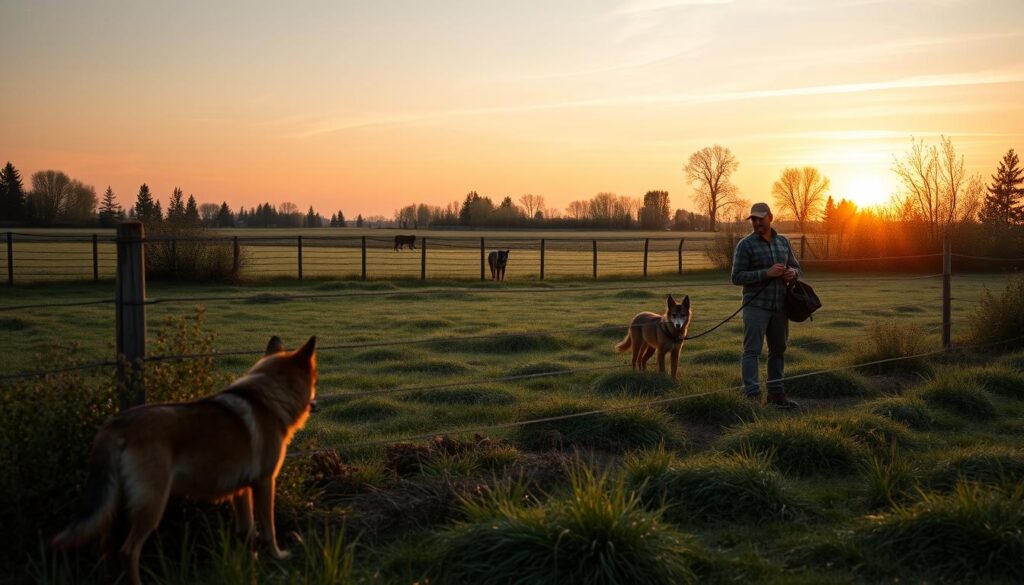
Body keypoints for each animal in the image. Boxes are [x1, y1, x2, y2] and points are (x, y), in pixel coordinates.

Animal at [50, 336, 315, 585]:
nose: (315, 402)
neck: (268, 398)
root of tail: (116, 424)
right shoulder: (264, 483)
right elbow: (269, 528)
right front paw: (277, 556)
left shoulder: (241, 490)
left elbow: (246, 531)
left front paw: (249, 563)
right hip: (152, 504)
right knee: (128, 550)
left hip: (117, 504)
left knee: (107, 548)